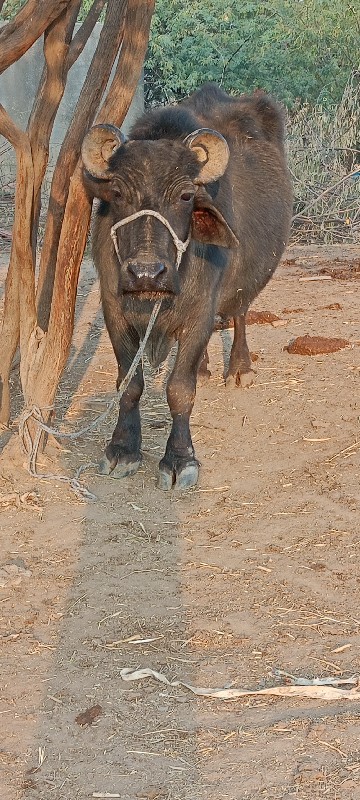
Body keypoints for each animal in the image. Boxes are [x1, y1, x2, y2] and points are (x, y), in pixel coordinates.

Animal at [81, 84, 292, 490]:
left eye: (184, 196)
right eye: (118, 193)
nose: (147, 273)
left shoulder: (199, 311)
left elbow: (179, 389)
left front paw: (179, 460)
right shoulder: (114, 311)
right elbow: (129, 385)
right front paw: (122, 450)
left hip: (245, 284)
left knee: (240, 312)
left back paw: (239, 368)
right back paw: (207, 367)